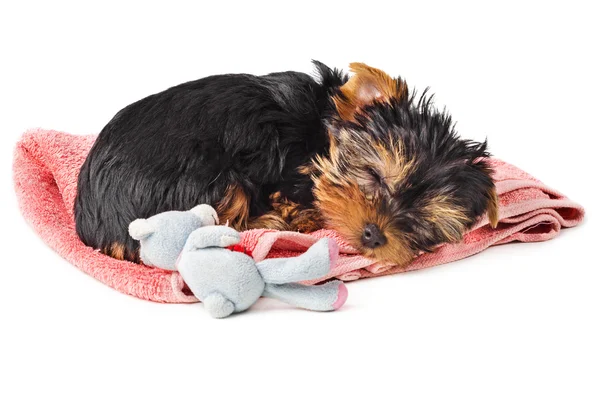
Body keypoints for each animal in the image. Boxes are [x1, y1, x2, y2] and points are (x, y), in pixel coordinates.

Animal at [75, 62, 496, 264]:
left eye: (425, 226)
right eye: (374, 176)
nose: (374, 235)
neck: (320, 133)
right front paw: (302, 213)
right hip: (206, 177)